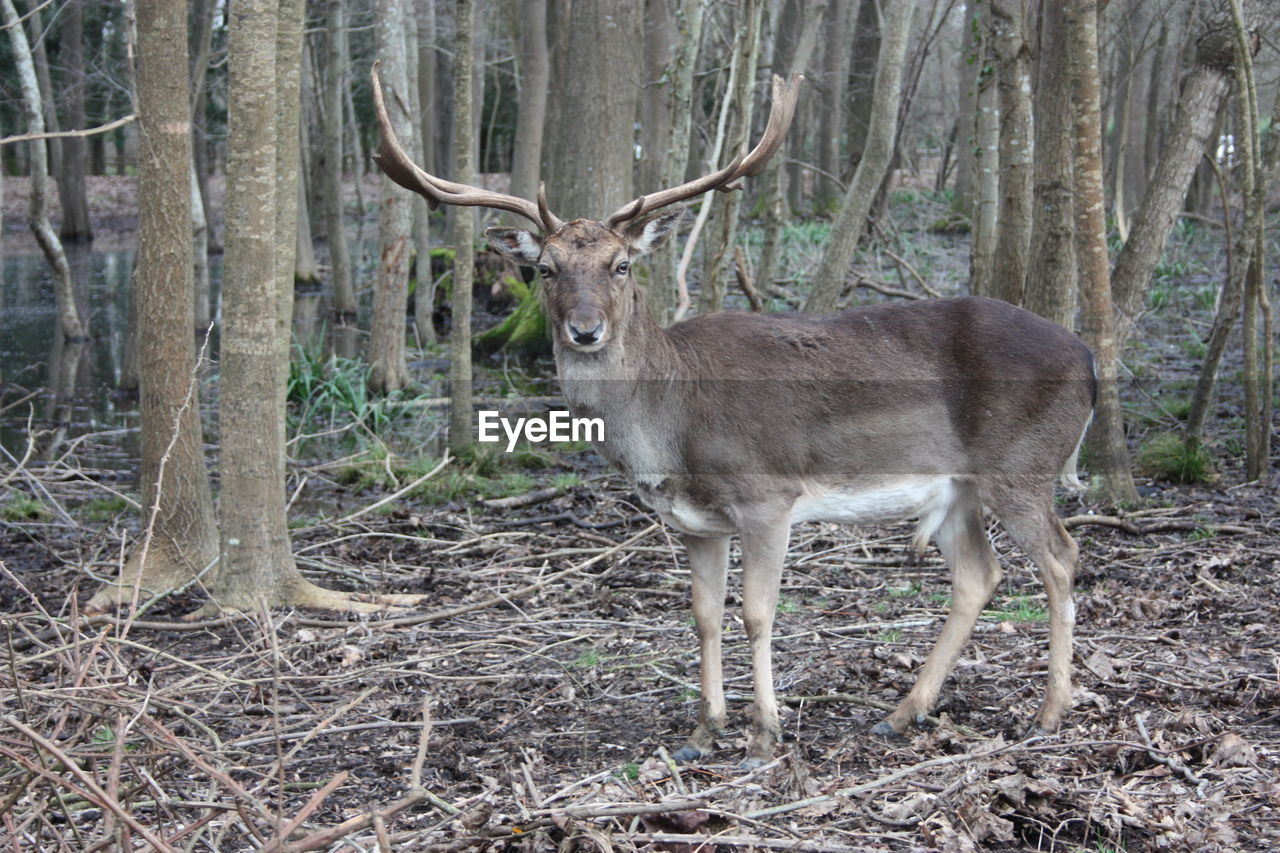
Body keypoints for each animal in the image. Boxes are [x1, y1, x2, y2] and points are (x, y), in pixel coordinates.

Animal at [368, 64, 1090, 763]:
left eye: (621, 264)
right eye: (545, 268)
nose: (585, 329)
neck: (669, 424)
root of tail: (1087, 357)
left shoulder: (767, 494)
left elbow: (758, 613)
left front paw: (764, 733)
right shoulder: (695, 521)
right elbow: (704, 614)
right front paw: (703, 730)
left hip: (1021, 465)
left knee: (1060, 557)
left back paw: (1050, 711)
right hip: (958, 487)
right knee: (979, 573)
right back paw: (901, 712)